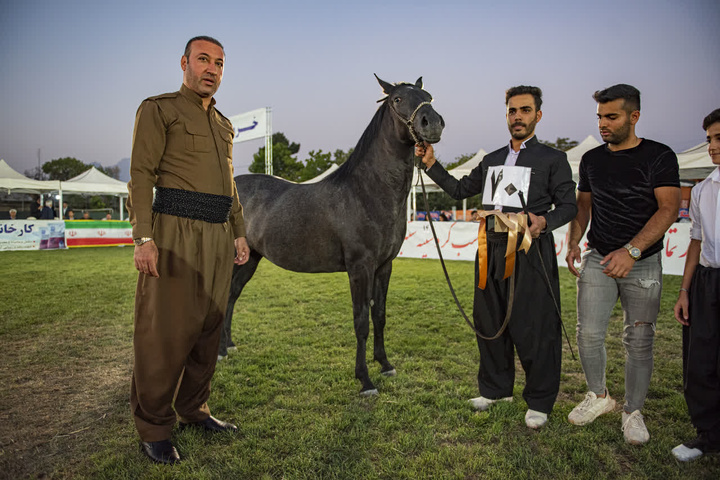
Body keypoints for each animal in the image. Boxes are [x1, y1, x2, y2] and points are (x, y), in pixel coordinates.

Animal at [221, 76, 444, 394]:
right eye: (397, 99)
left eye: (429, 96)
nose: (432, 124)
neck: (367, 192)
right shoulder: (359, 267)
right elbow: (361, 321)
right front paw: (365, 380)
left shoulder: (384, 266)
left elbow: (379, 315)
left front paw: (385, 365)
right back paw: (219, 351)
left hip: (250, 258)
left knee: (232, 295)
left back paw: (228, 346)